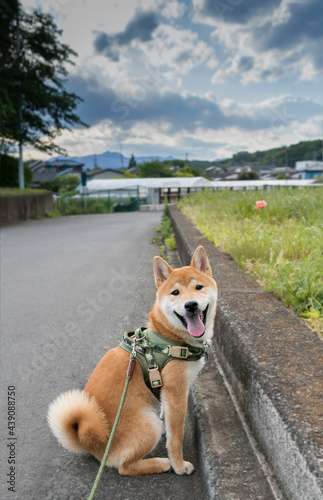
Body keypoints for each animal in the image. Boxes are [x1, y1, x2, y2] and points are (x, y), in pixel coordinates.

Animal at [47, 246, 218, 476]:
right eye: (175, 293)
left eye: (198, 287)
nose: (190, 305)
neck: (168, 337)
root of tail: (91, 443)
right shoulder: (177, 392)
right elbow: (177, 437)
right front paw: (179, 466)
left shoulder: (168, 394)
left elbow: (167, 416)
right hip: (148, 424)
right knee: (124, 468)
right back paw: (161, 464)